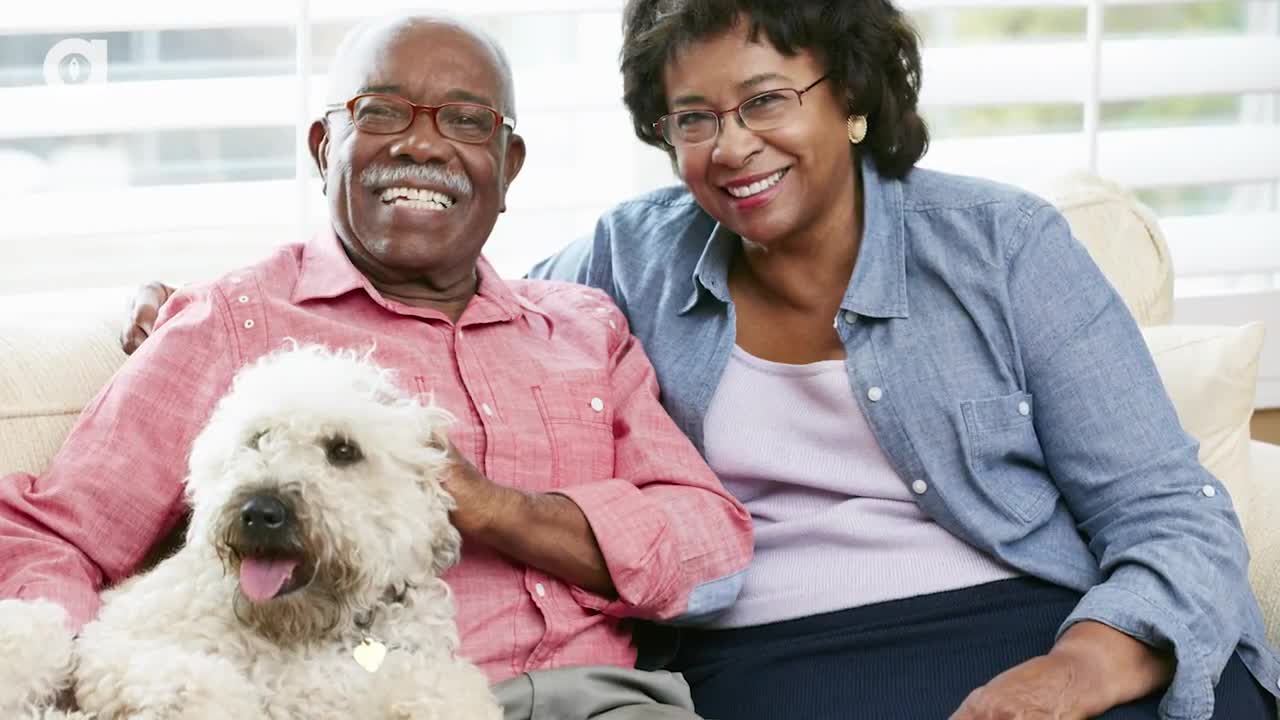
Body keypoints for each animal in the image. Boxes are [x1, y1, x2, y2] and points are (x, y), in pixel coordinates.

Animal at [0, 345, 499, 712]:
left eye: (343, 450)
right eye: (258, 439)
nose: (259, 512)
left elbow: (443, 689)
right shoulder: (117, 650)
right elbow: (205, 685)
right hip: (40, 630)